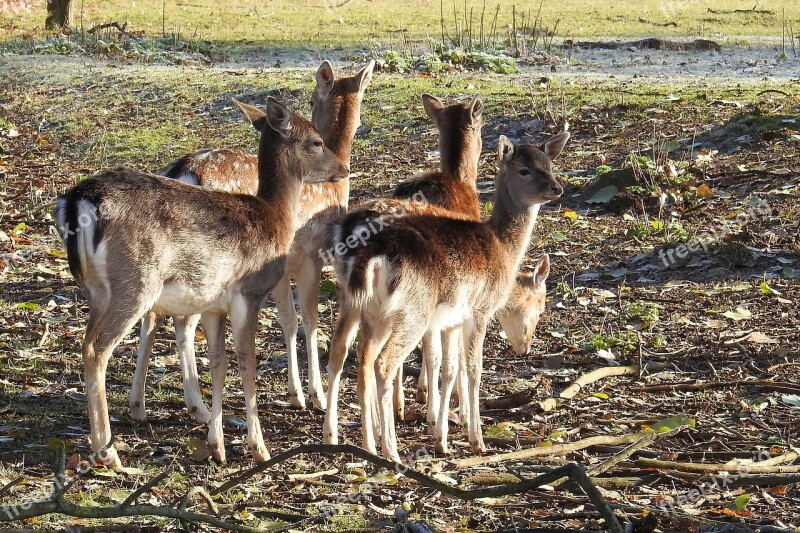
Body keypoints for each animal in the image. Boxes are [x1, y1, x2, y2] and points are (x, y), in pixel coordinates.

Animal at [53, 97, 346, 468]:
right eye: (316, 141)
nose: (343, 168)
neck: (275, 218)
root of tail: (78, 200)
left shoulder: (213, 305)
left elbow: (219, 365)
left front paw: (217, 446)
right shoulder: (247, 293)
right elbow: (247, 364)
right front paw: (259, 448)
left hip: (98, 291)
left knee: (89, 340)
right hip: (134, 282)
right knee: (96, 349)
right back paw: (108, 452)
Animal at [127, 60, 372, 424]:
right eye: (312, 99)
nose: (342, 169)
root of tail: (183, 170)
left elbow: (288, 319)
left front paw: (297, 393)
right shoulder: (309, 254)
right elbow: (307, 319)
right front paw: (312, 395)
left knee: (151, 316)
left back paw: (139, 404)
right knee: (182, 323)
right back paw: (198, 407)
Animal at [322, 134, 564, 462]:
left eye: (550, 164)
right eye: (524, 170)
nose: (556, 188)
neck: (503, 250)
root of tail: (367, 252)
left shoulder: (450, 319)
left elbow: (449, 366)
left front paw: (443, 434)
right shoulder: (478, 310)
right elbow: (472, 368)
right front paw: (474, 438)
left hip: (364, 306)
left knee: (347, 353)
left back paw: (350, 439)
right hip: (413, 310)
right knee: (384, 362)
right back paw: (390, 449)